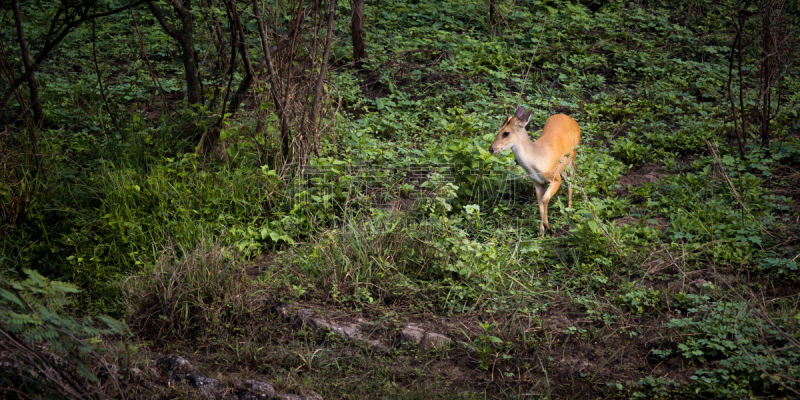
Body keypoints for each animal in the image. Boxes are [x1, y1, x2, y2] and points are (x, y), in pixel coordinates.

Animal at [488, 107, 580, 238]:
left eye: (506, 133)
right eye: (498, 130)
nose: (491, 149)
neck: (536, 161)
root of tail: (570, 118)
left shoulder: (555, 178)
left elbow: (545, 198)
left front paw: (548, 227)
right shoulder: (537, 182)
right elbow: (540, 204)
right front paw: (541, 234)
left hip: (573, 156)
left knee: (571, 181)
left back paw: (569, 210)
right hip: (563, 166)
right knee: (567, 178)